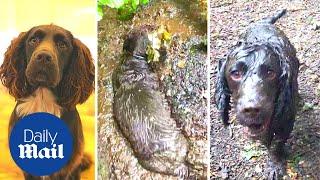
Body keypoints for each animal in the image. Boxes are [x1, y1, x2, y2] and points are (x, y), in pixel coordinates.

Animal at [215, 9, 300, 179]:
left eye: (270, 73)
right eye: (235, 73)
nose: (252, 109)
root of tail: (263, 22)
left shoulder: (286, 120)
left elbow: (276, 144)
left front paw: (275, 165)